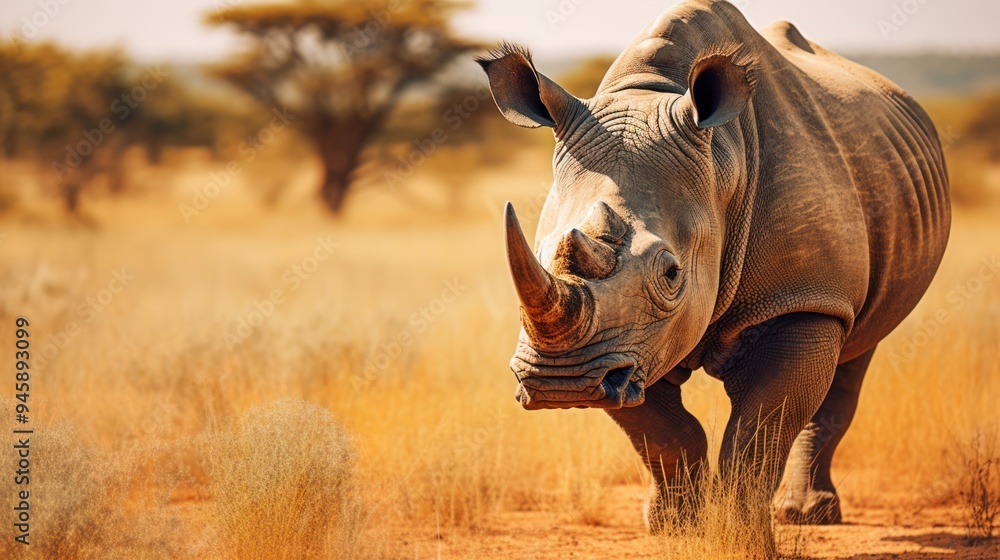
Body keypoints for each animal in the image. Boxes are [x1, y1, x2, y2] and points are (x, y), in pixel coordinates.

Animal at [476, 0, 950, 528]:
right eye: (541, 254)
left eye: (671, 274)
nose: (560, 383)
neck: (723, 162)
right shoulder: (621, 346)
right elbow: (663, 432)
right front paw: (674, 526)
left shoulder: (804, 298)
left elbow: (756, 435)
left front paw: (740, 530)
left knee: (856, 350)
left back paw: (805, 515)